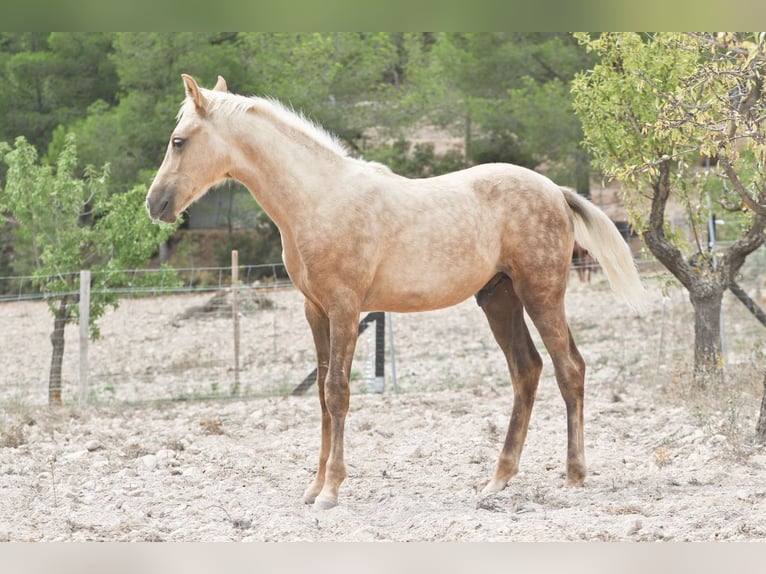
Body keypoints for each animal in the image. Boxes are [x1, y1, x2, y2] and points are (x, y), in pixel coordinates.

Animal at [147, 74, 644, 510]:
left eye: (178, 140)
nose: (156, 204)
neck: (318, 199)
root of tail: (555, 191)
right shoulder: (316, 311)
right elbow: (322, 397)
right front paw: (314, 486)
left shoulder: (345, 310)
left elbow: (337, 391)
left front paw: (331, 490)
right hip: (499, 299)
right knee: (527, 371)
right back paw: (497, 479)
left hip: (541, 295)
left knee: (569, 369)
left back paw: (574, 475)